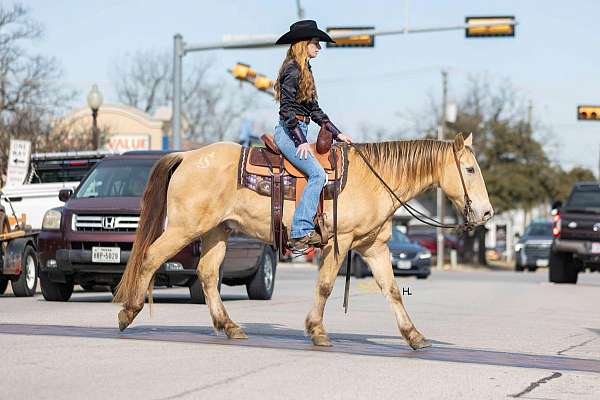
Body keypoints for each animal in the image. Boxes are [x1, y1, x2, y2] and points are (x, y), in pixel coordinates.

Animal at [112, 132, 492, 350]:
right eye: (470, 170)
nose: (487, 213)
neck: (375, 179)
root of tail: (187, 156)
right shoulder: (341, 241)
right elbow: (325, 286)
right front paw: (317, 331)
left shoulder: (374, 247)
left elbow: (392, 290)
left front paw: (414, 336)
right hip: (184, 228)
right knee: (151, 257)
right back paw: (127, 313)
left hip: (217, 231)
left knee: (206, 274)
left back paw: (230, 327)